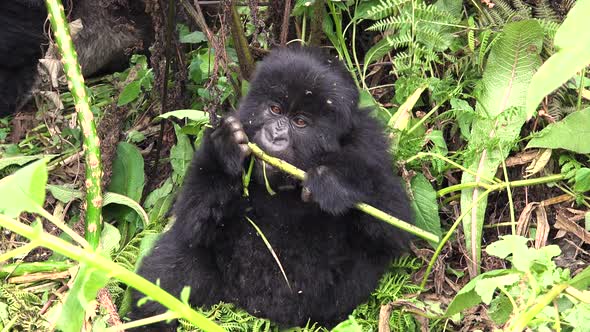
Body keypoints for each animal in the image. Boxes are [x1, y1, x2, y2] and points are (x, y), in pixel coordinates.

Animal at [132, 46, 414, 330]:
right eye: (275, 109)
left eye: (300, 122)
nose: (275, 134)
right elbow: (193, 221)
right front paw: (226, 149)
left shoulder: (370, 143)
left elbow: (395, 227)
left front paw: (335, 179)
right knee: (169, 267)